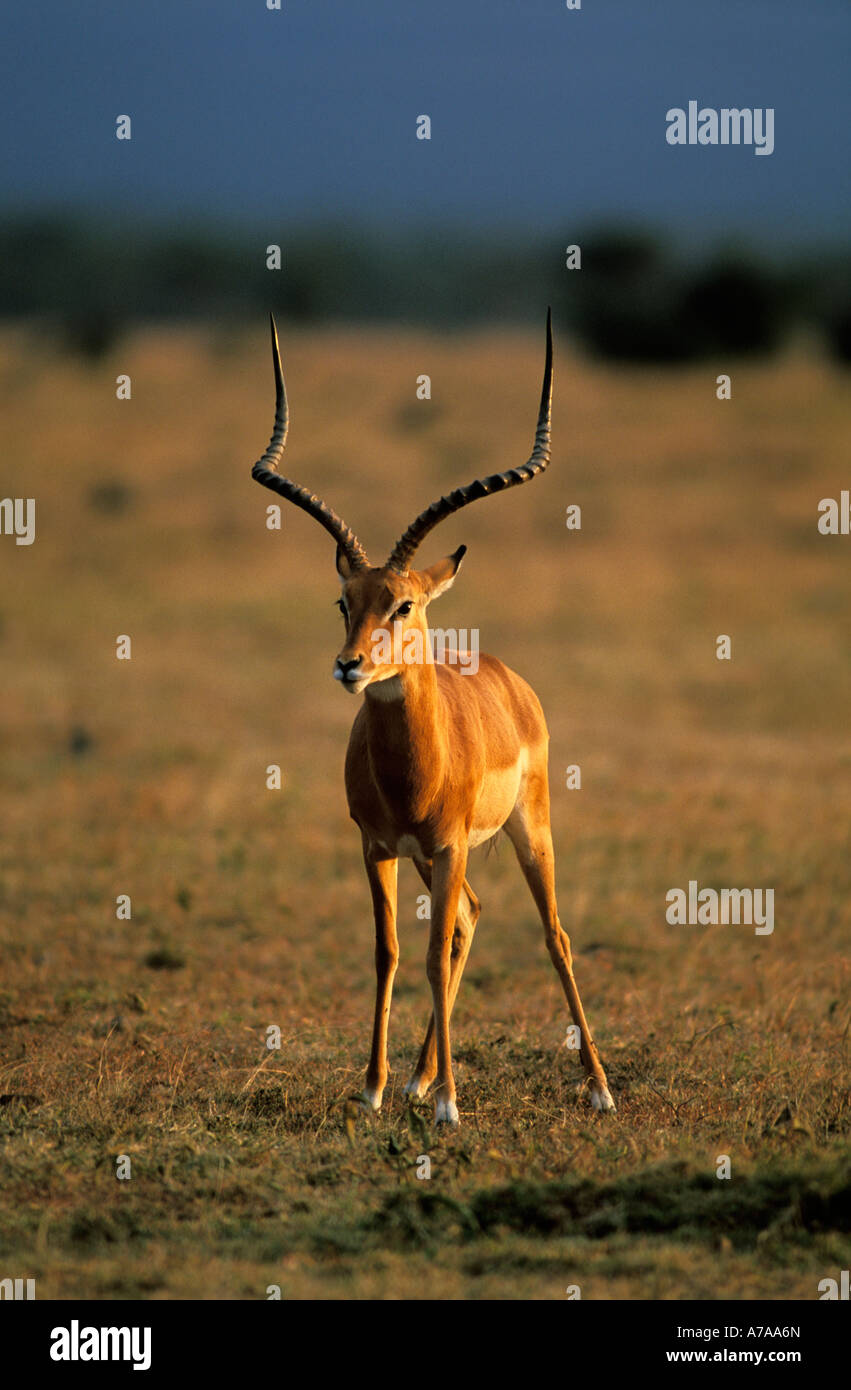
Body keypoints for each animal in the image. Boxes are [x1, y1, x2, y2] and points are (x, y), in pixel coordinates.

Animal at [248, 309, 614, 1123]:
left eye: (404, 604)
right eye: (344, 600)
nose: (349, 665)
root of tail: (509, 677)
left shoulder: (445, 846)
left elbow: (430, 955)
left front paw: (448, 1104)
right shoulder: (378, 846)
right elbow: (389, 952)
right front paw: (375, 1089)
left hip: (527, 829)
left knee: (553, 934)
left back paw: (599, 1088)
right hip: (435, 859)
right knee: (468, 920)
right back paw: (419, 1078)